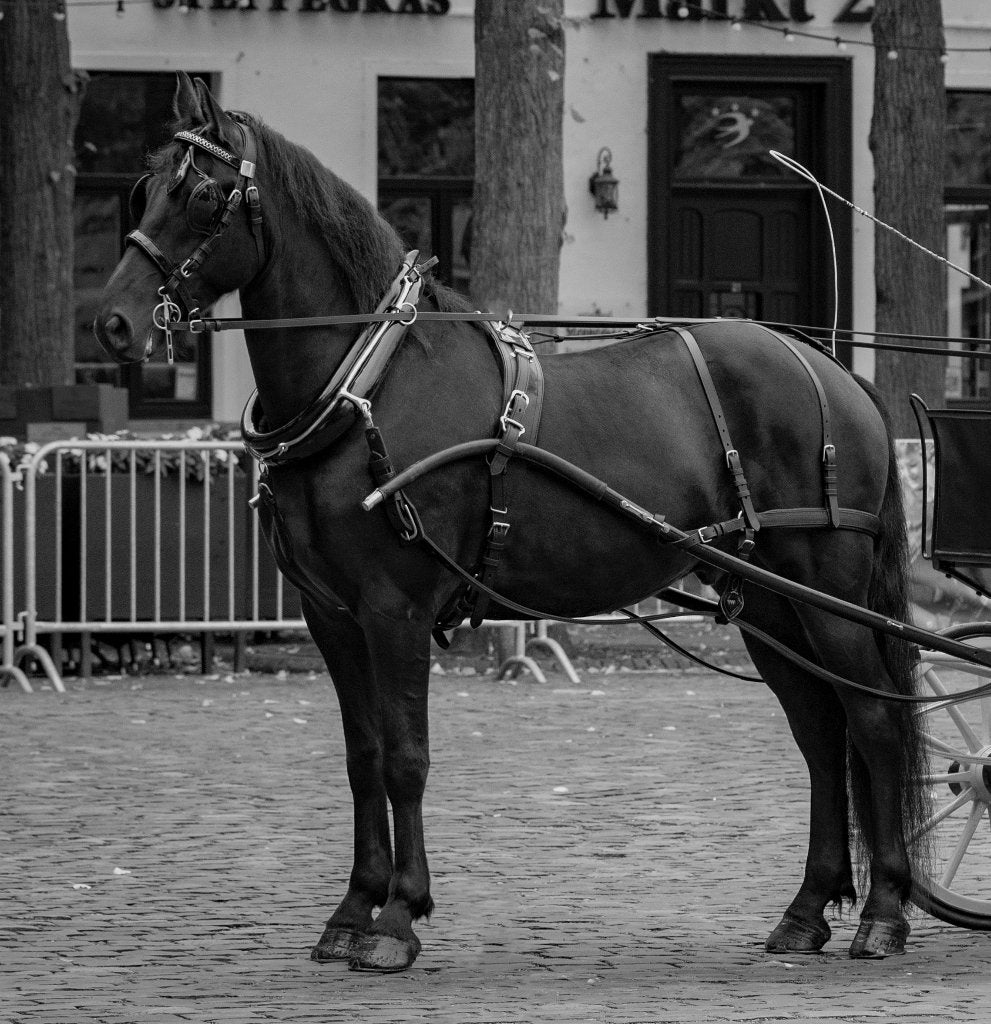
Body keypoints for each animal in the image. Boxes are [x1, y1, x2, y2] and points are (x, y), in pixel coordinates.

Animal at [94, 73, 927, 973]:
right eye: (143, 189)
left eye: (202, 194)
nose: (112, 321)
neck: (365, 388)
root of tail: (828, 366)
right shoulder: (332, 616)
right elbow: (362, 758)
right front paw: (352, 909)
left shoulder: (395, 608)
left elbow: (406, 758)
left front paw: (397, 917)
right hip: (768, 600)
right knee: (819, 729)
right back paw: (806, 910)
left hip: (826, 589)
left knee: (872, 720)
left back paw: (884, 911)